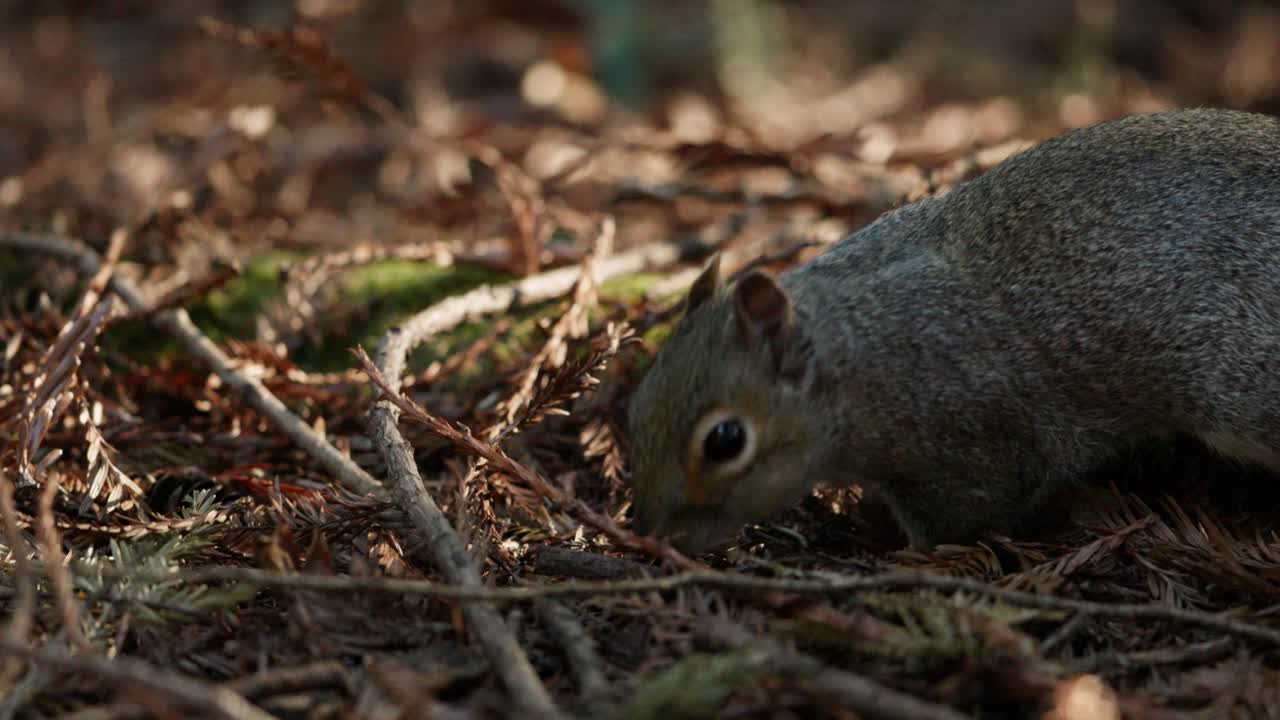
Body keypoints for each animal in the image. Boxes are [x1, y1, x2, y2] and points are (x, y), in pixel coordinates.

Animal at [625, 107, 1280, 554]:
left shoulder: (967, 445)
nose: (653, 537)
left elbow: (965, 516)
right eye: (637, 404)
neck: (851, 355)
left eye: (725, 441)